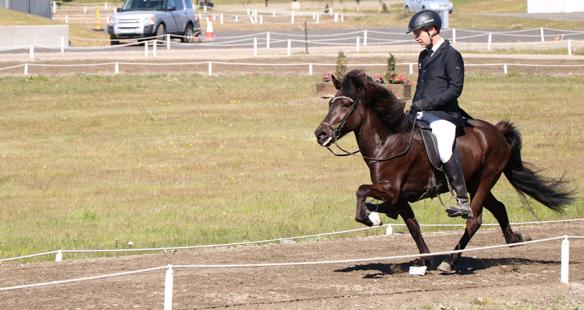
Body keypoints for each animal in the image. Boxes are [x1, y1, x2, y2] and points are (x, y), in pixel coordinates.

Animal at [312, 69, 572, 272]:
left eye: (347, 104)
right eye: (330, 103)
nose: (320, 134)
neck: (388, 141)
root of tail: (497, 131)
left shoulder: (391, 189)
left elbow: (361, 190)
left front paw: (369, 218)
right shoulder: (400, 198)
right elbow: (413, 227)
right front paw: (425, 260)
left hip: (486, 178)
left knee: (474, 219)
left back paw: (451, 261)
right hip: (474, 183)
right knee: (498, 208)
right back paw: (513, 239)